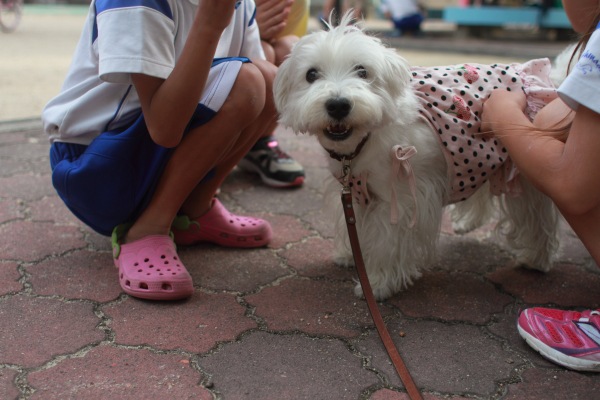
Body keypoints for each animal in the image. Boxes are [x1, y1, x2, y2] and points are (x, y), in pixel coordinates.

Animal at [274, 13, 560, 300]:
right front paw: (351, 255)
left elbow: (388, 241)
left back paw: (535, 259)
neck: (363, 144)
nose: (338, 105)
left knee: (537, 217)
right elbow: (354, 225)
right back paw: (468, 222)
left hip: (521, 167)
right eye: (311, 74)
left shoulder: (400, 198)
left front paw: (378, 283)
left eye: (363, 71)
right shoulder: (354, 192)